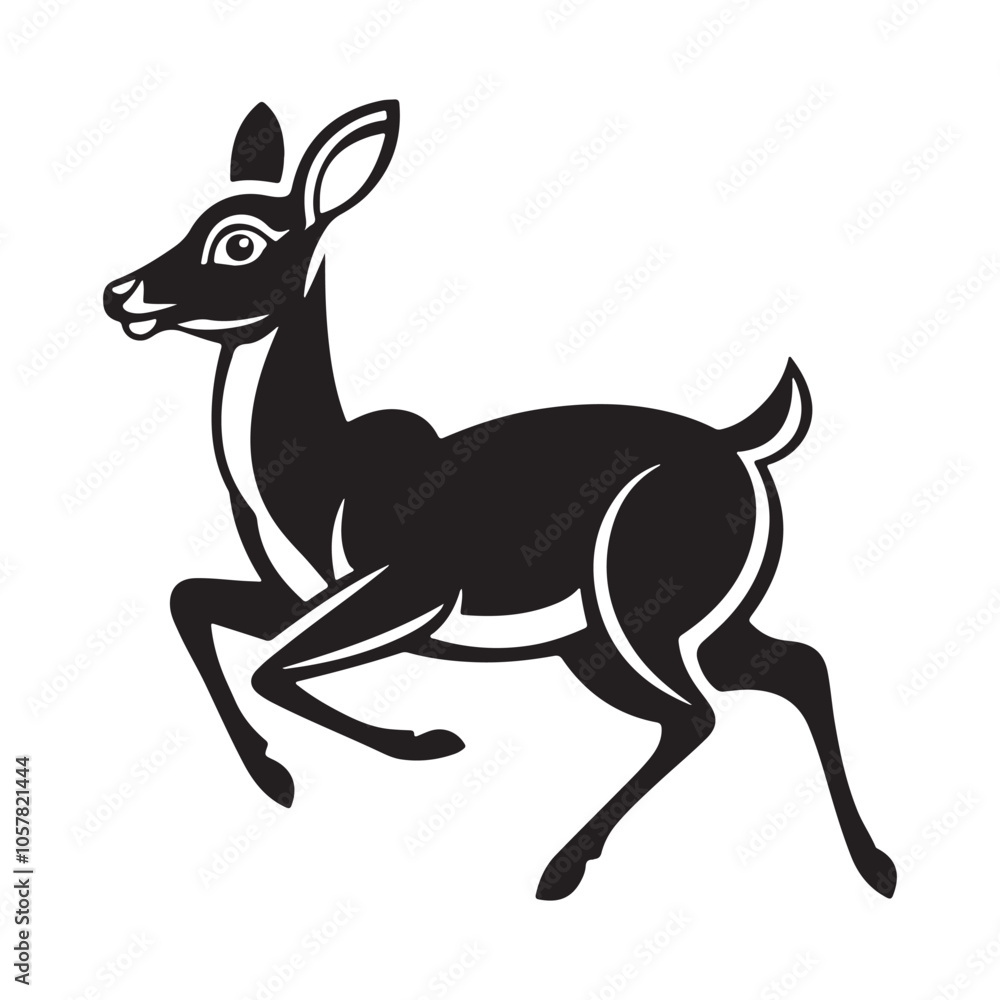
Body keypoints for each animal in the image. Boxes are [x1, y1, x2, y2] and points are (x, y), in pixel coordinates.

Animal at [103, 99, 896, 901]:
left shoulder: (412, 589)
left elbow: (268, 668)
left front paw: (418, 744)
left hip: (636, 616)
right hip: (664, 629)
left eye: (239, 242)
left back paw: (561, 868)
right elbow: (191, 604)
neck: (311, 480)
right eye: (194, 219)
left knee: (696, 715)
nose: (120, 293)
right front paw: (286, 774)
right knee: (794, 668)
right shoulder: (304, 599)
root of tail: (747, 443)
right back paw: (874, 866)